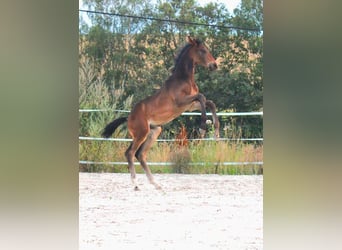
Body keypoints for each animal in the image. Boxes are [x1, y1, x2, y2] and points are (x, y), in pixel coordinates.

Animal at [102, 36, 219, 190]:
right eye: (202, 50)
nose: (214, 65)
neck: (184, 79)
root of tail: (129, 117)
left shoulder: (189, 106)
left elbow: (209, 102)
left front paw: (216, 131)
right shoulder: (181, 102)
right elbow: (202, 97)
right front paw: (202, 128)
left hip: (154, 131)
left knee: (140, 155)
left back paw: (155, 184)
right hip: (141, 133)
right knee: (130, 153)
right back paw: (136, 184)